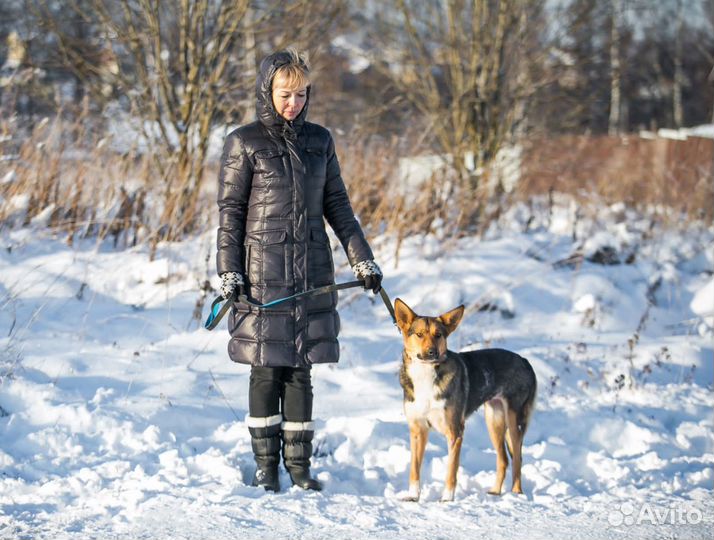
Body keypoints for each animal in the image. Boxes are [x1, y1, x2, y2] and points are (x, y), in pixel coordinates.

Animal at [394, 298, 536, 500]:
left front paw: (447, 499)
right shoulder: (417, 429)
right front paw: (413, 497)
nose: (432, 352)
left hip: (514, 421)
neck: (425, 375)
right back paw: (495, 492)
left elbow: (451, 470)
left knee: (517, 458)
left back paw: (516, 494)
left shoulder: (455, 431)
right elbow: (414, 469)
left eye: (438, 335)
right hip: (494, 420)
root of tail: (524, 360)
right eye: (419, 334)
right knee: (503, 459)